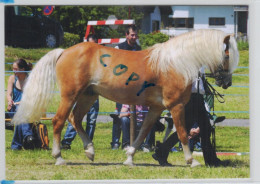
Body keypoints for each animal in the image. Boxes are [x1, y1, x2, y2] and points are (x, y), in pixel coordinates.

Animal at [13, 29, 239, 167]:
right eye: (227, 55)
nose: (226, 82)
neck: (177, 63)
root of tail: (64, 52)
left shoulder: (156, 108)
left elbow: (142, 133)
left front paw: (129, 158)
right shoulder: (176, 106)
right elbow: (183, 133)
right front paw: (192, 161)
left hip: (88, 96)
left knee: (74, 119)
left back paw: (90, 151)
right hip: (70, 96)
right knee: (58, 121)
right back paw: (59, 158)